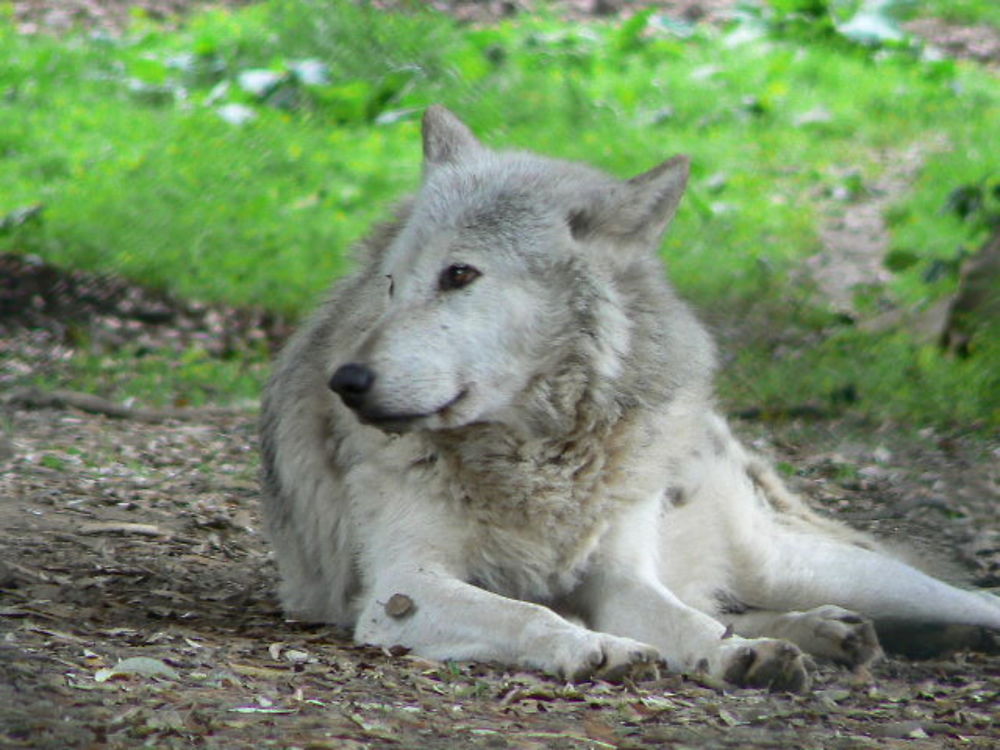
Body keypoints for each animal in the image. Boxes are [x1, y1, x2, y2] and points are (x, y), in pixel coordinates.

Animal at [260, 106, 1000, 692]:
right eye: (390, 284)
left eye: (459, 275)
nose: (347, 381)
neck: (539, 456)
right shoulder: (401, 587)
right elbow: (533, 612)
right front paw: (599, 647)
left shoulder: (617, 575)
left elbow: (684, 622)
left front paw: (733, 655)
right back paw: (831, 632)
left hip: (807, 565)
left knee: (965, 596)